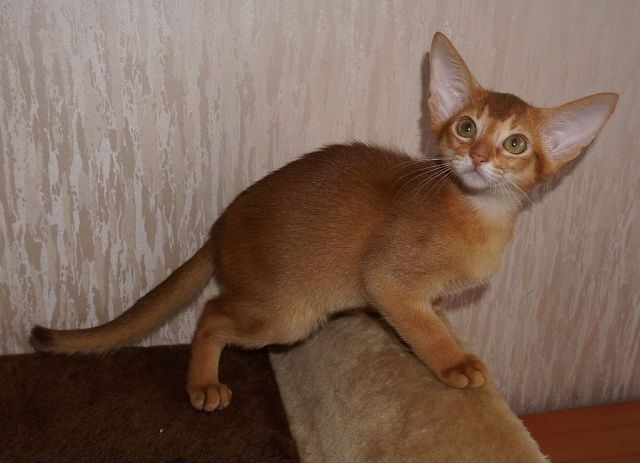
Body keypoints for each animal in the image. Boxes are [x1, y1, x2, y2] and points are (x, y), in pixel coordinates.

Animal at [30, 33, 618, 412]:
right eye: (466, 127)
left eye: (516, 144)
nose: (476, 157)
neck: (478, 213)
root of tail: (219, 228)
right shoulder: (386, 277)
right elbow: (423, 330)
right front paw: (455, 363)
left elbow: (429, 314)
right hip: (287, 313)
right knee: (213, 314)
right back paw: (202, 384)